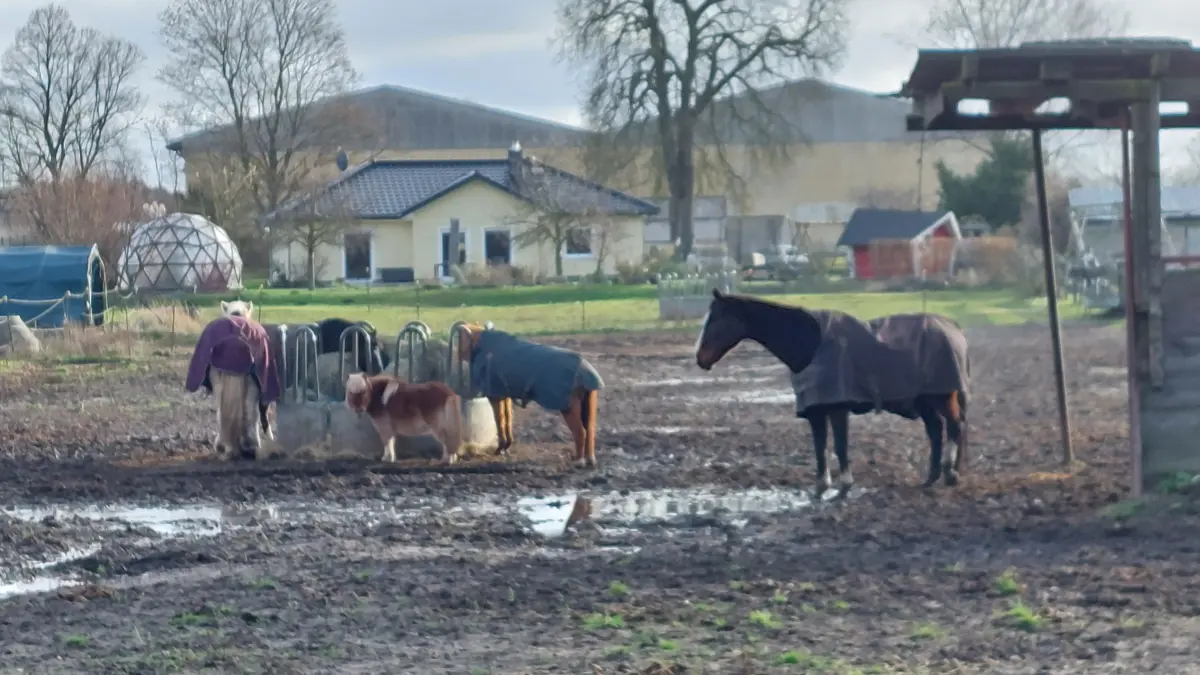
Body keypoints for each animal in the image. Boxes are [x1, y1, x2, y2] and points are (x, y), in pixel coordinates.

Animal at [455, 323, 604, 468]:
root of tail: (584, 370)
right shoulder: (505, 394)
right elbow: (507, 418)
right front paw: (506, 446)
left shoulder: (494, 395)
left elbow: (499, 420)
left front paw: (500, 449)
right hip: (589, 401)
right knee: (590, 429)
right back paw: (591, 460)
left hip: (568, 405)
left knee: (580, 431)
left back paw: (579, 462)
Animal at [694, 289, 970, 498]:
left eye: (716, 320)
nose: (700, 359)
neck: (811, 344)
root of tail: (953, 328)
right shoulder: (815, 411)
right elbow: (819, 446)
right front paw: (820, 488)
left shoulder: (838, 408)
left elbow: (839, 445)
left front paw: (844, 486)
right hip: (924, 401)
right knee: (936, 430)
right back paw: (931, 477)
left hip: (942, 396)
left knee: (955, 426)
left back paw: (950, 473)